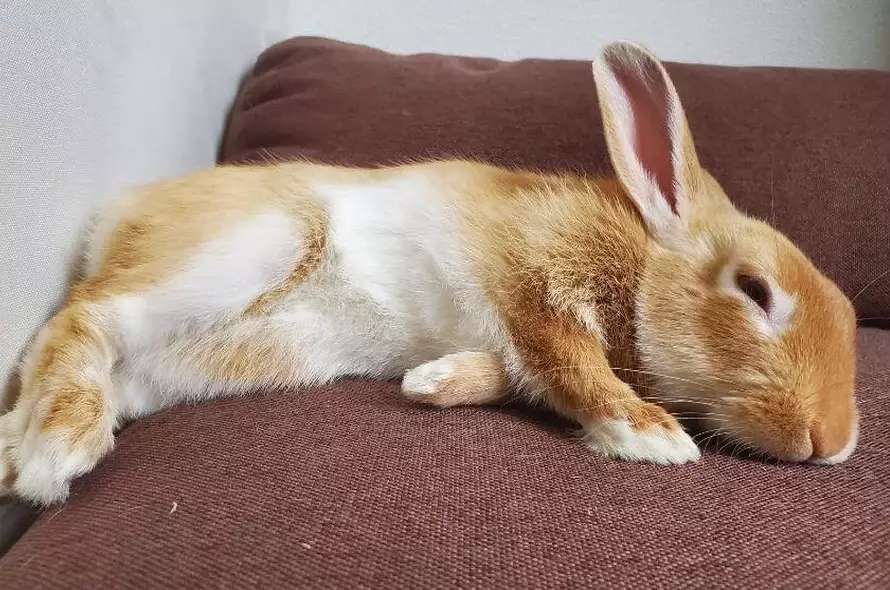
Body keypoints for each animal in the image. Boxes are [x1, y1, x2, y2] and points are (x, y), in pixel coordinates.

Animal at [0, 41, 858, 506]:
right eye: (755, 291)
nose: (834, 444)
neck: (643, 263)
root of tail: (114, 219)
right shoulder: (533, 282)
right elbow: (569, 362)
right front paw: (652, 437)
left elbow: (520, 375)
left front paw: (430, 383)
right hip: (252, 249)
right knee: (85, 314)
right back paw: (54, 453)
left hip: (224, 356)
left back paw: (18, 448)